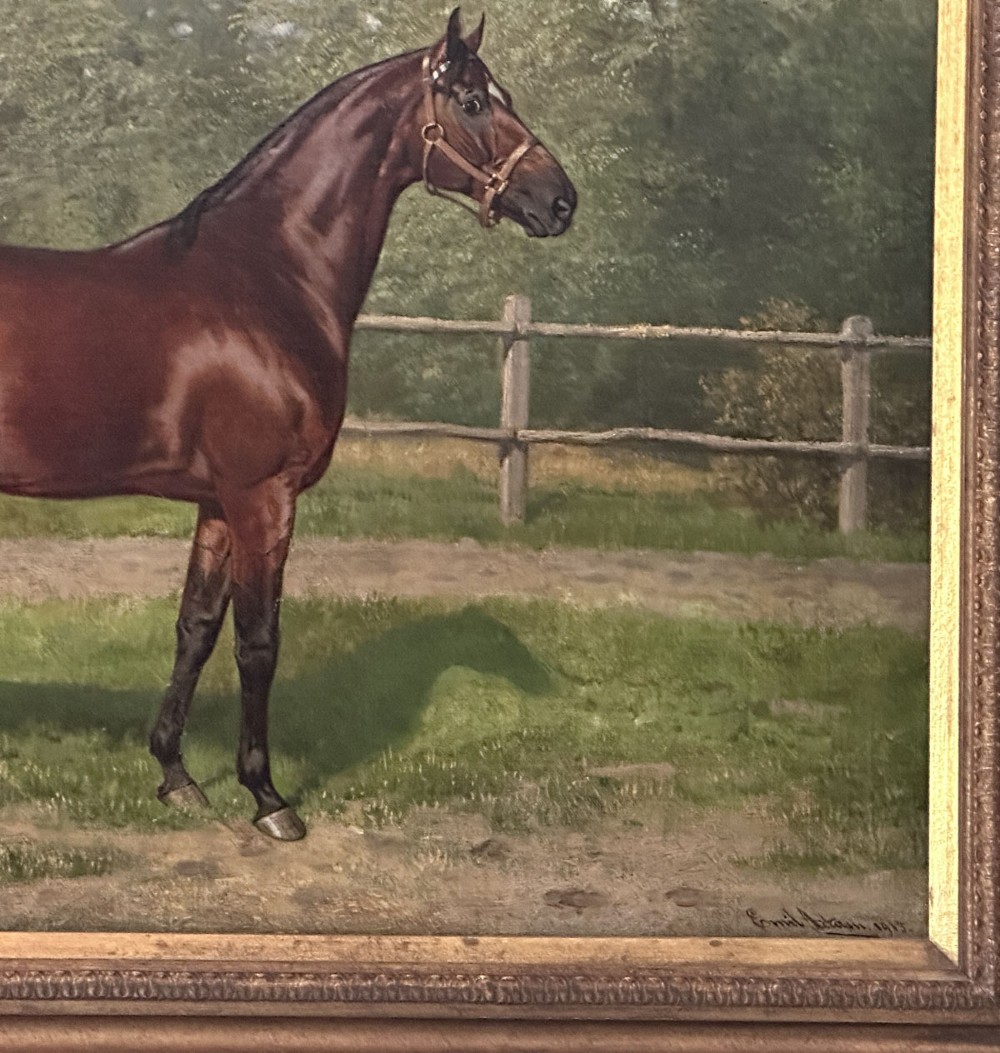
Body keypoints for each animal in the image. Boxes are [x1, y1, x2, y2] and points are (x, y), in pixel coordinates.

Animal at [0, 9, 576, 841]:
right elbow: (257, 642)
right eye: (472, 101)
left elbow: (197, 627)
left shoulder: (217, 502)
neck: (266, 275)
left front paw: (176, 774)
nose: (561, 200)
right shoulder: (263, 495)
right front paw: (268, 796)